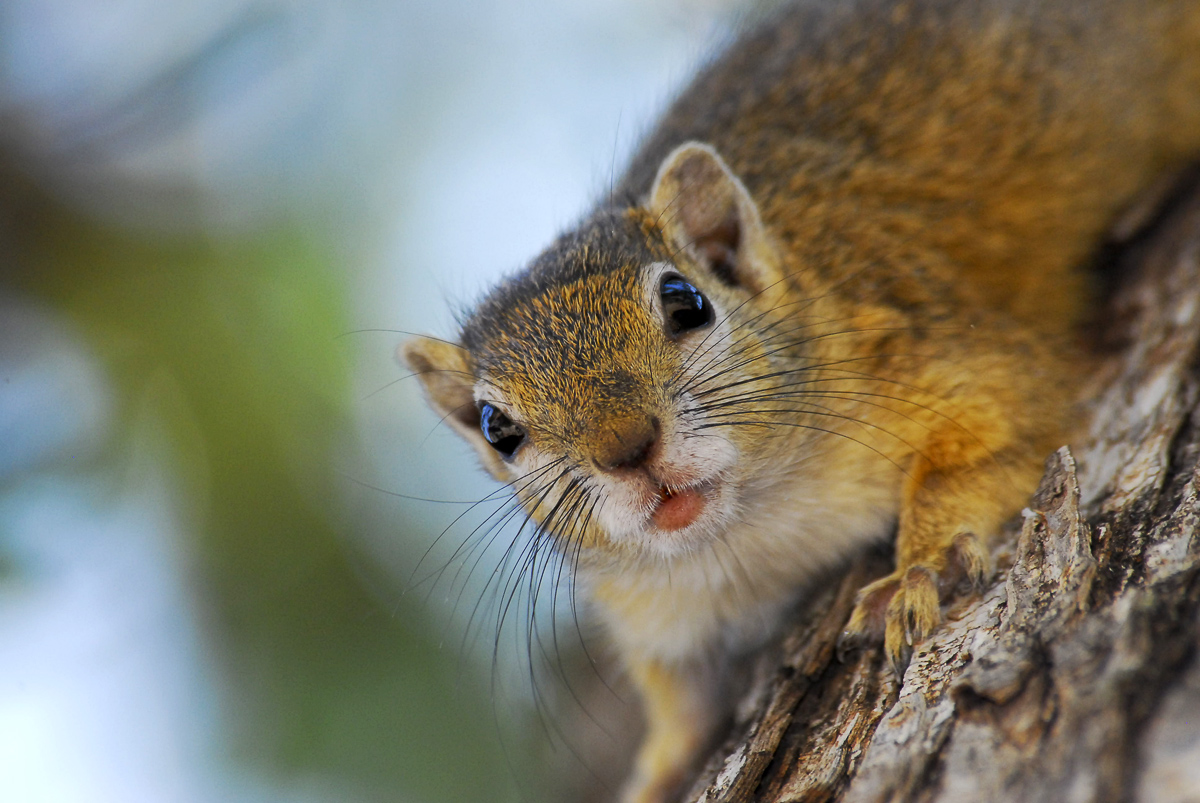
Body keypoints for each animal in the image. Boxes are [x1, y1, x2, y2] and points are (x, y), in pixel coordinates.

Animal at [402, 1, 1200, 801]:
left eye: (685, 301)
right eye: (496, 428)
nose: (627, 447)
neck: (754, 528)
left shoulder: (940, 359)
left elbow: (993, 436)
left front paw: (920, 565)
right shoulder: (659, 611)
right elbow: (682, 707)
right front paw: (654, 771)